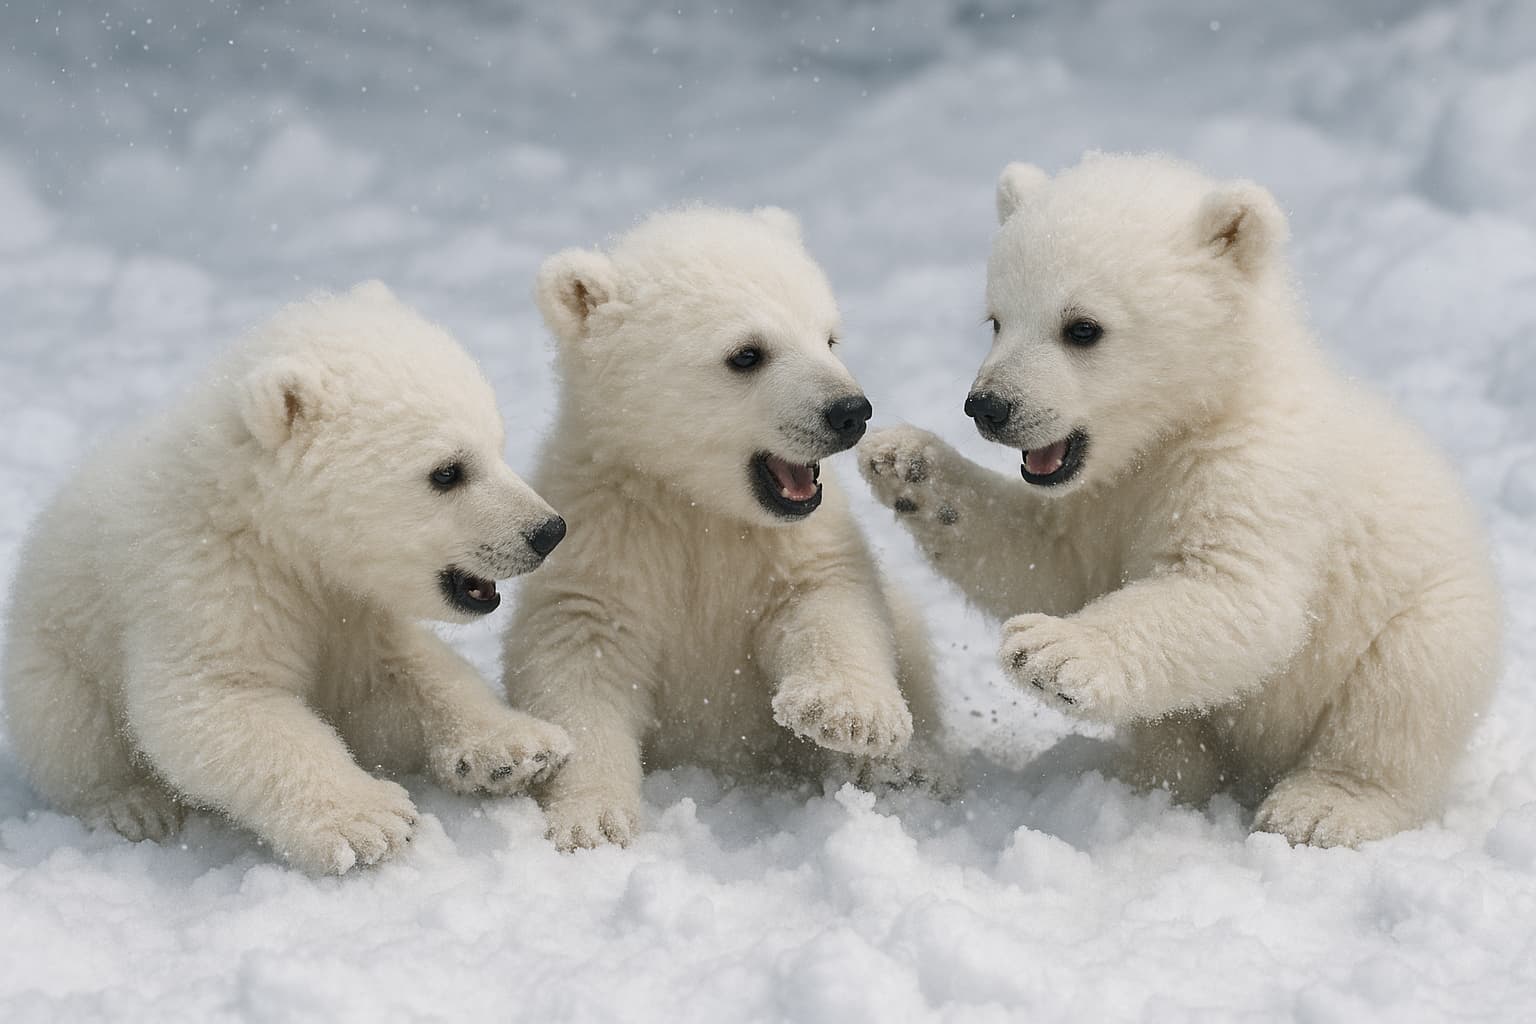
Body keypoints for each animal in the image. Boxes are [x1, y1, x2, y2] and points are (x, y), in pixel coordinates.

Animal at [1, 281, 574, 873]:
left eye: (498, 445)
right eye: (447, 472)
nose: (548, 530)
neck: (269, 528)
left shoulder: (350, 605)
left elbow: (403, 673)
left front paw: (517, 749)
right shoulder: (205, 583)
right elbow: (217, 700)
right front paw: (369, 821)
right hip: (53, 662)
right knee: (74, 735)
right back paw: (132, 805)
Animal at [501, 206, 941, 850]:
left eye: (829, 336)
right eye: (747, 354)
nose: (849, 412)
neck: (696, 501)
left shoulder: (786, 540)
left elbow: (827, 599)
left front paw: (851, 715)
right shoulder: (606, 536)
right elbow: (580, 661)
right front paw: (591, 821)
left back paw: (912, 770)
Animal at [860, 153, 1502, 848]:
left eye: (1081, 327)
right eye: (996, 319)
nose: (989, 406)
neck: (1189, 419)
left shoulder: (1255, 473)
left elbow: (1236, 593)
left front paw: (1050, 652)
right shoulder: (1104, 494)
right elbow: (1049, 562)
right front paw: (906, 462)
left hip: (1428, 619)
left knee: (1398, 701)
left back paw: (1322, 805)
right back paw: (1154, 778)